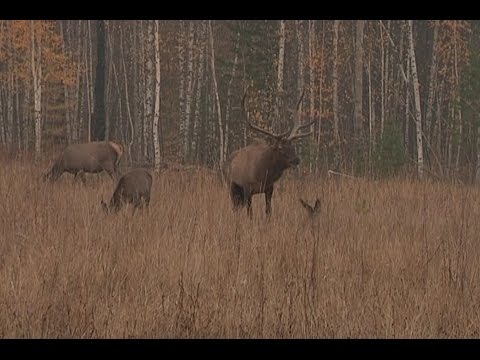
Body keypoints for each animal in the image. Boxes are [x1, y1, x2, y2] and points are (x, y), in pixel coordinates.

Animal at [227, 88, 316, 218]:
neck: (263, 173)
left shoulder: (269, 188)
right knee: (235, 208)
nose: (296, 159)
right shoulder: (247, 188)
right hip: (233, 187)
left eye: (292, 146)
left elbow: (268, 211)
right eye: (281, 148)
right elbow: (250, 213)